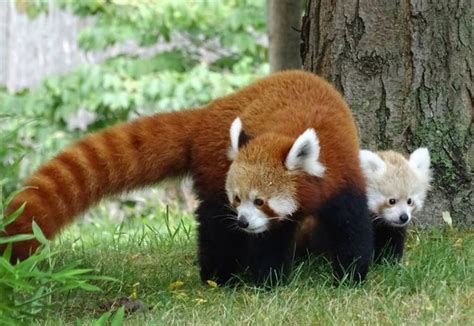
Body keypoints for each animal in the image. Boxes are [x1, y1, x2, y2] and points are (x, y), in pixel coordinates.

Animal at [3, 70, 374, 286]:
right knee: (212, 226)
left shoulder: (343, 178)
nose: (243, 221)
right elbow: (269, 241)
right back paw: (218, 276)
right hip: (213, 167)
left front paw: (349, 277)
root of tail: (207, 113)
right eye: (238, 199)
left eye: (260, 201)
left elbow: (351, 229)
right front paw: (268, 281)